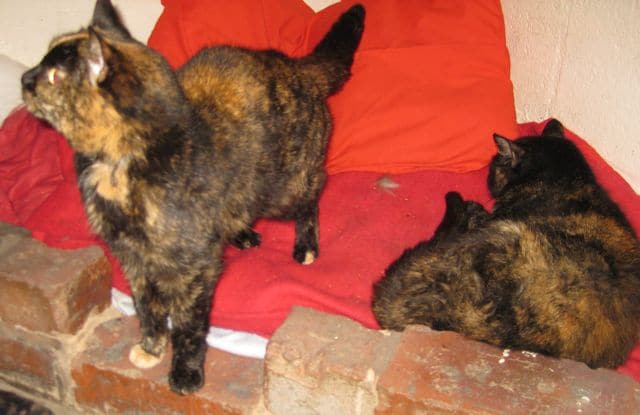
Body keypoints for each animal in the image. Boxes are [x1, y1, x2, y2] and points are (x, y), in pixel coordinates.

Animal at [21, 0, 365, 394]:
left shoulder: (192, 270)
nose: (24, 79)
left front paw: (185, 371)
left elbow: (187, 325)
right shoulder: (132, 259)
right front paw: (151, 347)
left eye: (54, 77)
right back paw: (241, 234)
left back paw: (306, 245)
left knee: (313, 194)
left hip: (286, 189)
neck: (118, 168)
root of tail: (295, 67)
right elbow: (147, 306)